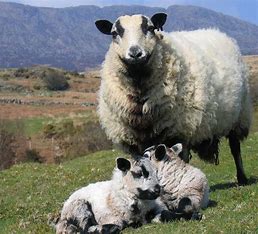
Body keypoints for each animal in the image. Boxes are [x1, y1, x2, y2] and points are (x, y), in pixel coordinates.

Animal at [95, 12, 252, 185]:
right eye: (114, 33)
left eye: (150, 28)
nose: (135, 53)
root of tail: (216, 31)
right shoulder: (134, 143)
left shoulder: (180, 131)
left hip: (239, 116)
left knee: (235, 148)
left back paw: (242, 178)